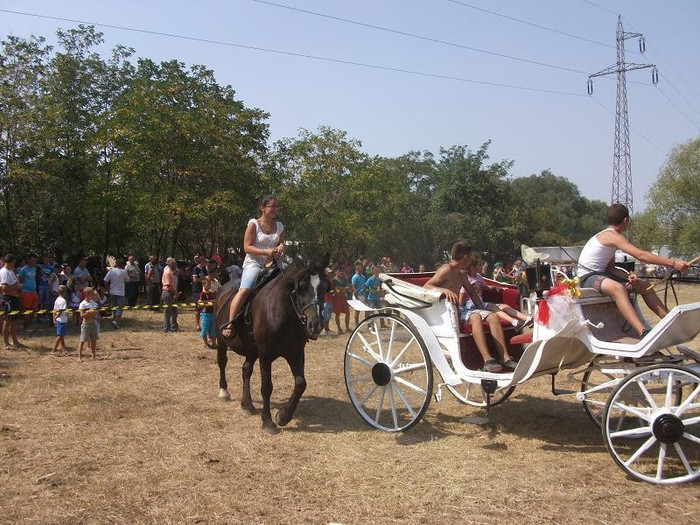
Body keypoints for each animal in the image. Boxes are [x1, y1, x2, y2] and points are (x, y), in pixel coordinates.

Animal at [213, 252, 330, 432]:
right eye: (301, 287)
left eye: (325, 287)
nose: (316, 324)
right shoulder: (265, 355)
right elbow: (267, 386)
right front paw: (267, 421)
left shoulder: (296, 352)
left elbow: (301, 383)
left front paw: (283, 416)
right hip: (222, 341)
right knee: (222, 361)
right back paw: (224, 391)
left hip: (252, 350)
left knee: (246, 369)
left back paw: (247, 404)